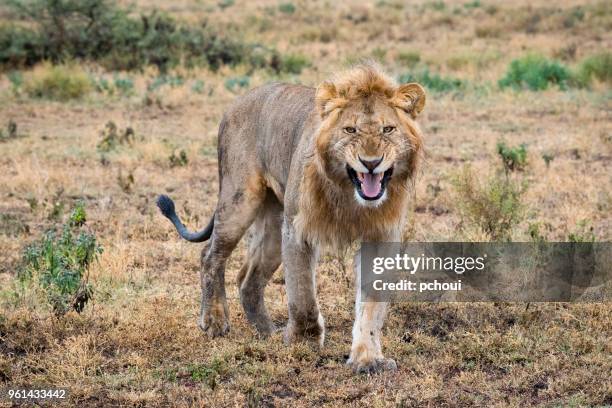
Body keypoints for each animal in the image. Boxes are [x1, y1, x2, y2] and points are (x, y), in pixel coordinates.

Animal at [158, 63, 426, 372]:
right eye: (350, 130)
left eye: (388, 129)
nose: (371, 163)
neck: (349, 194)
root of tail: (238, 101)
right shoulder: (297, 229)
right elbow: (302, 295)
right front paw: (303, 341)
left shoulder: (381, 237)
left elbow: (371, 305)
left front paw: (368, 359)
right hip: (240, 200)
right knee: (210, 255)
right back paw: (214, 321)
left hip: (274, 227)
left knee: (248, 278)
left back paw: (268, 333)